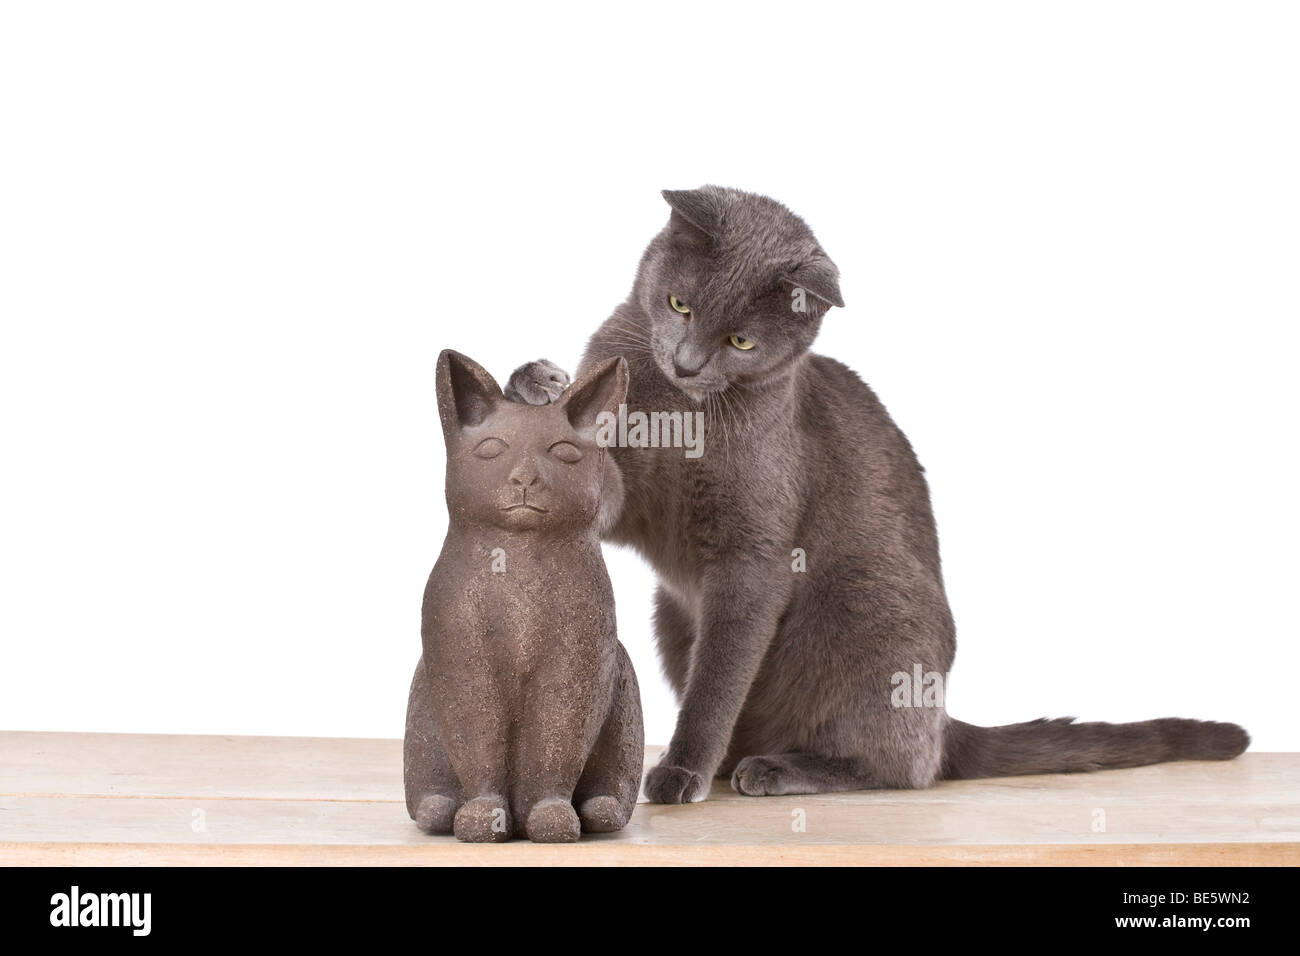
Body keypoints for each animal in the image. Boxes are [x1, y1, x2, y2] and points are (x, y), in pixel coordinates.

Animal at [501, 184, 1242, 801]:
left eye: (741, 340)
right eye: (679, 304)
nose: (685, 364)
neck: (676, 409)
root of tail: (947, 717)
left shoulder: (753, 556)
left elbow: (717, 685)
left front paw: (681, 771)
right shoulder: (631, 501)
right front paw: (536, 382)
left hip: (874, 616)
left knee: (903, 767)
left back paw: (774, 768)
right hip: (671, 614)